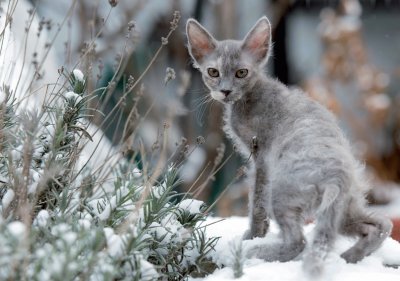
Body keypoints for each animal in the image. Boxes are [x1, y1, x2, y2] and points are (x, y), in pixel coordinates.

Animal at [186, 16, 392, 274]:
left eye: (241, 73)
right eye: (213, 72)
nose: (225, 90)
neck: (249, 97)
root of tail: (338, 177)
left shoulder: (261, 160)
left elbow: (256, 202)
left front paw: (253, 236)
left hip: (282, 193)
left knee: (298, 242)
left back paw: (254, 253)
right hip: (342, 209)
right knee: (381, 224)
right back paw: (349, 257)